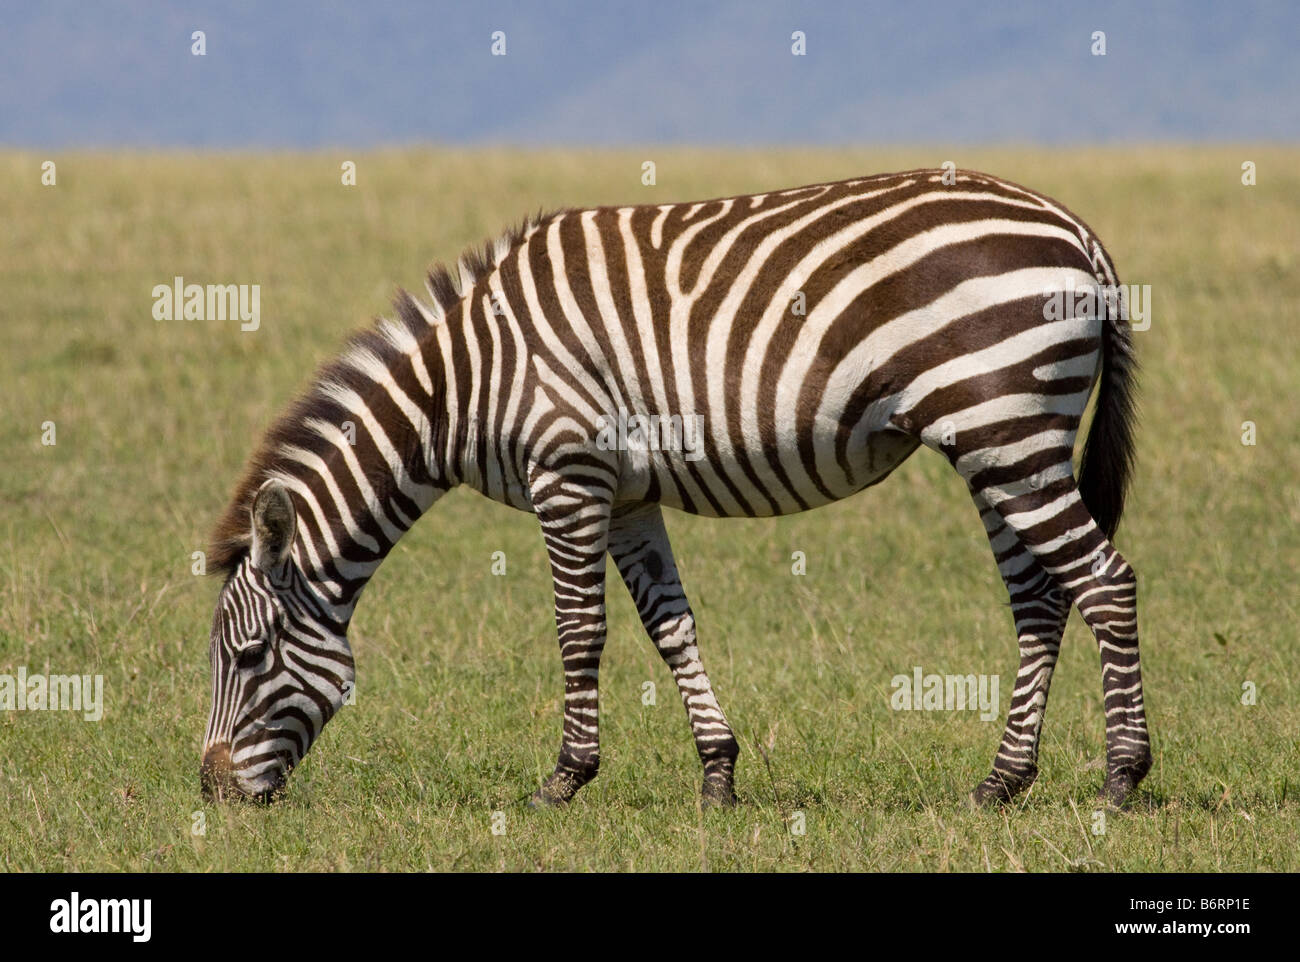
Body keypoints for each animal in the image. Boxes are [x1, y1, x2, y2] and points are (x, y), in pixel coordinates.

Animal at [200, 168, 1151, 810]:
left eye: (247, 657)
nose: (210, 793)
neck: (464, 380)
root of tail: (1077, 229)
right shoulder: (628, 495)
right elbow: (671, 627)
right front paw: (719, 776)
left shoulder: (569, 472)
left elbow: (579, 631)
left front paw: (564, 780)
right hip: (998, 439)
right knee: (1040, 599)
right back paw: (1001, 782)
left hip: (1006, 427)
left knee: (1106, 583)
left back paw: (1121, 778)